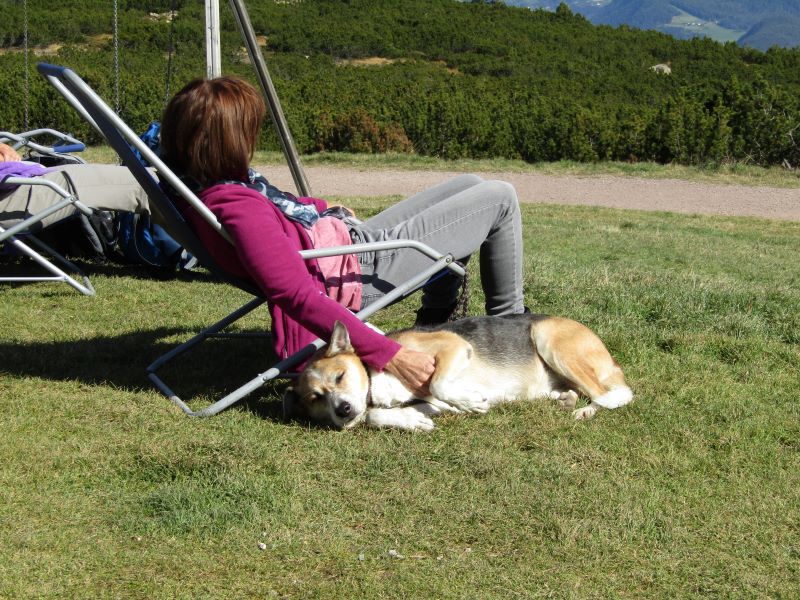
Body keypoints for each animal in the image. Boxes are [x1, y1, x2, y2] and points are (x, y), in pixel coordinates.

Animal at [284, 314, 636, 432]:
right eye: (316, 398)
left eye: (340, 376)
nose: (342, 410)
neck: (374, 376)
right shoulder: (435, 404)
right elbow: (375, 414)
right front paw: (410, 420)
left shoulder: (453, 347)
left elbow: (440, 384)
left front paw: (473, 402)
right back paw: (565, 400)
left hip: (547, 337)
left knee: (616, 394)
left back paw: (586, 410)